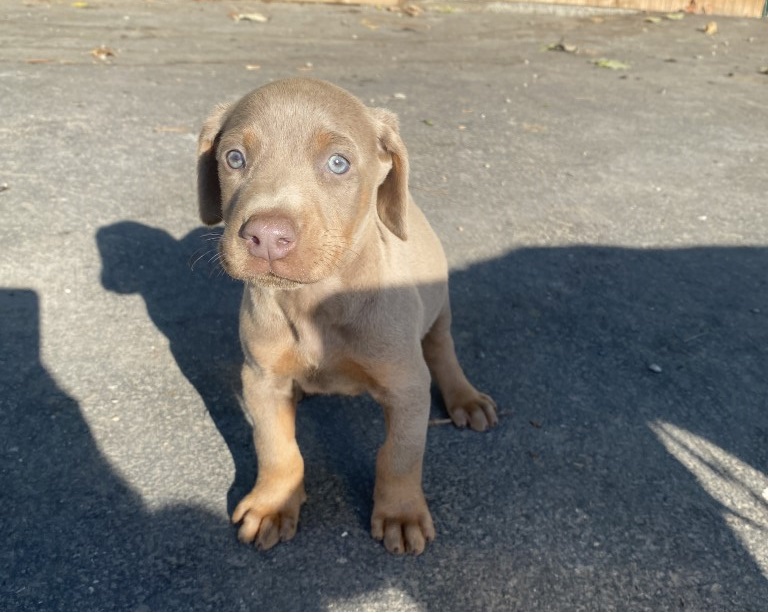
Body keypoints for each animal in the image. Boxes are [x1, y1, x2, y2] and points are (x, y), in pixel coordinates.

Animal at [198, 77, 498, 556]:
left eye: (338, 163)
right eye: (234, 158)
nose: (266, 237)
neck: (314, 301)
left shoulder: (407, 386)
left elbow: (399, 455)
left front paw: (400, 514)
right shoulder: (260, 377)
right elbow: (275, 446)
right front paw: (272, 504)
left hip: (439, 309)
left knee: (442, 349)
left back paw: (465, 398)